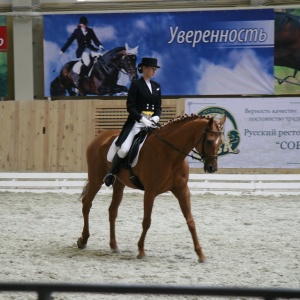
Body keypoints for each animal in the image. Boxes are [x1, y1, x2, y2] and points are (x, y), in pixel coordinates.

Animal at [77, 113, 225, 262]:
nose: (212, 168)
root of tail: (102, 134)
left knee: (112, 211)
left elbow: (191, 221)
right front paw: (141, 250)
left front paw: (201, 254)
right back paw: (83, 240)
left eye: (221, 143)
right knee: (87, 204)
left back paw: (114, 246)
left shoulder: (182, 190)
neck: (169, 154)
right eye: (209, 141)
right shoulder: (150, 191)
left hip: (119, 184)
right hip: (96, 180)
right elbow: (147, 221)